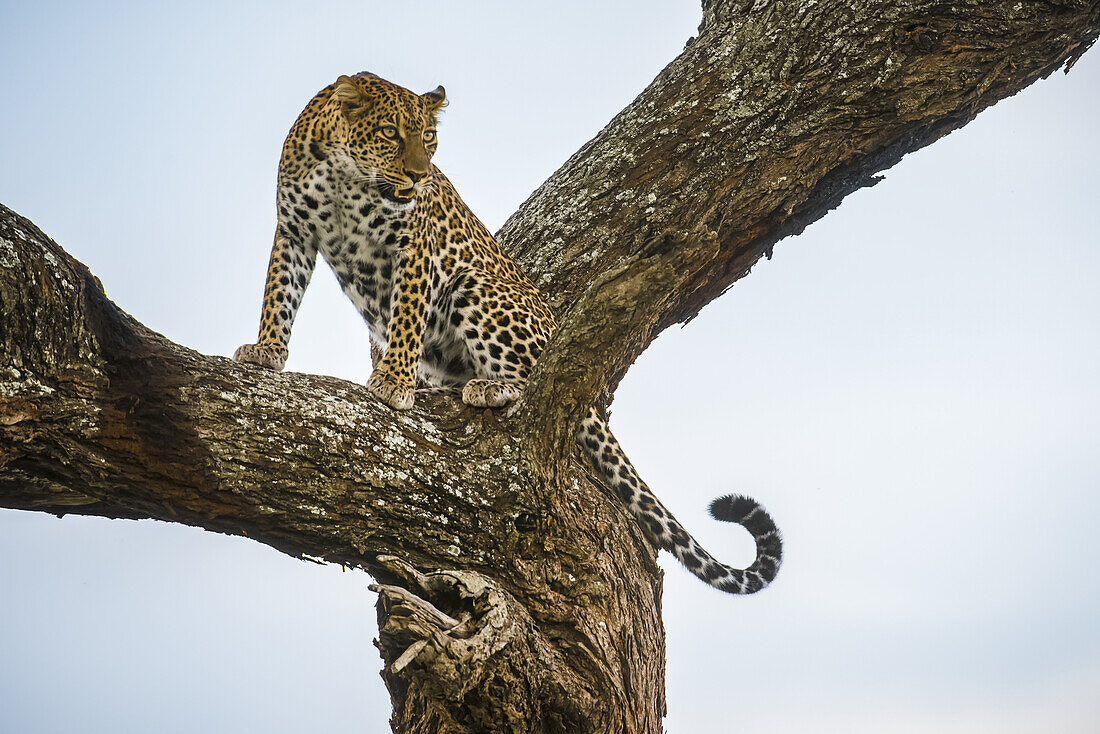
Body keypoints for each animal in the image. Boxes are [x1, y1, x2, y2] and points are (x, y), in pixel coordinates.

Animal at [234, 71, 783, 594]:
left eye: (429, 137)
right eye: (390, 133)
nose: (419, 175)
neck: (346, 175)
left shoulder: (415, 245)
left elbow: (407, 314)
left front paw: (393, 381)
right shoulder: (294, 231)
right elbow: (278, 294)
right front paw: (266, 350)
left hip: (475, 287)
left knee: (543, 382)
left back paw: (490, 387)